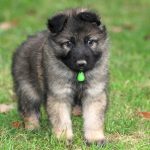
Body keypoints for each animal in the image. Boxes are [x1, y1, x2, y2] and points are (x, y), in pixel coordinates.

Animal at [11, 8, 108, 145]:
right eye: (68, 43)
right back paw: (32, 128)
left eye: (90, 42)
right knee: (28, 108)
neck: (77, 74)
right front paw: (63, 137)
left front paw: (94, 138)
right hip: (28, 88)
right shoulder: (59, 95)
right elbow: (61, 119)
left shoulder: (94, 93)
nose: (81, 63)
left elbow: (94, 118)